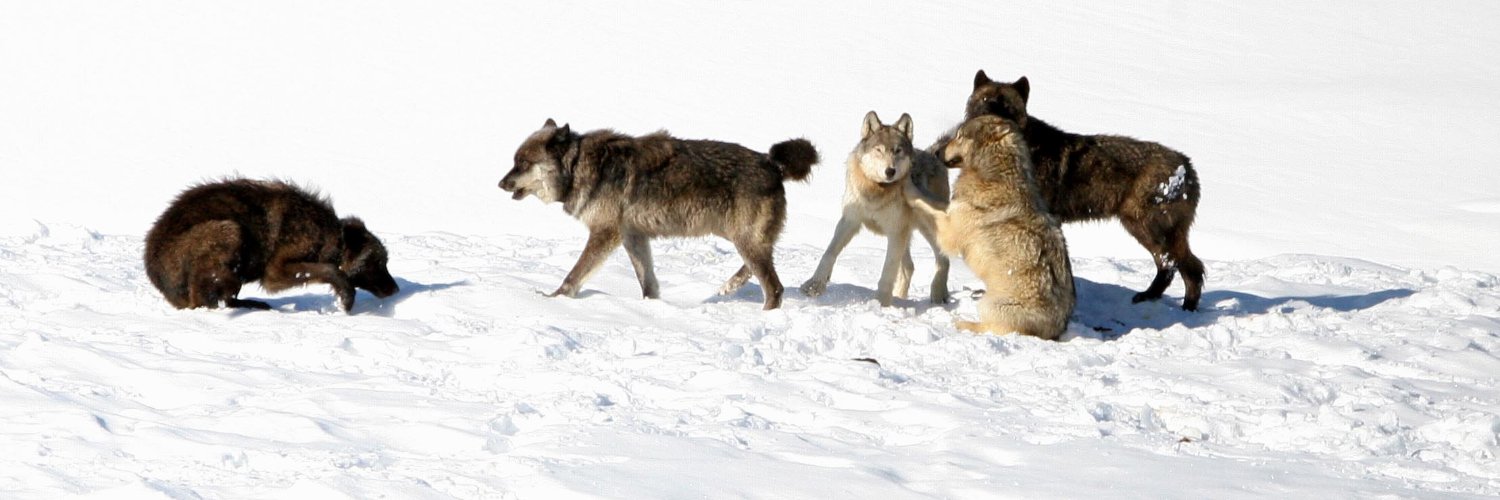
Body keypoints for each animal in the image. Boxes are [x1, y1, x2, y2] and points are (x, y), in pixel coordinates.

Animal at [144, 178, 399, 312]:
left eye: (384, 261)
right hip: (228, 230)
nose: (396, 289)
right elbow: (330, 271)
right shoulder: (275, 272)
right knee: (207, 300)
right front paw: (346, 298)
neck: (329, 234)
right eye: (377, 262)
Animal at [499, 119, 819, 310]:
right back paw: (728, 287)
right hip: (742, 240)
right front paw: (652, 310)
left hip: (744, 240)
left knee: (775, 289)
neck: (579, 167)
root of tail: (772, 164)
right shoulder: (633, 236)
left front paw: (554, 300)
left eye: (523, 163)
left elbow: (574, 274)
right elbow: (648, 283)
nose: (501, 183)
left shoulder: (605, 233)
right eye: (514, 161)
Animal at [799, 111, 950, 306]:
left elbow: (887, 272)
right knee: (909, 267)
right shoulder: (850, 221)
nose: (890, 171)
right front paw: (814, 285)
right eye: (879, 150)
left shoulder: (895, 232)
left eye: (898, 151)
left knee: (943, 260)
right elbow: (829, 253)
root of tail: (933, 154)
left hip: (927, 227)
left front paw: (880, 304)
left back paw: (938, 295)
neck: (876, 190)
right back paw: (901, 297)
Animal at [907, 115, 1075, 340]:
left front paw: (909, 185)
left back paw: (962, 323)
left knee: (990, 328)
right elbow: (935, 202)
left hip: (987, 305)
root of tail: (1056, 330)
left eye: (960, 136)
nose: (935, 153)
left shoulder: (950, 230)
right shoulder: (952, 210)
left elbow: (923, 198)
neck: (995, 174)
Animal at [938, 70, 1204, 311]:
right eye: (984, 99)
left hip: (1144, 226)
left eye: (1005, 104)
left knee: (1180, 266)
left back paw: (1181, 307)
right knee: (1181, 266)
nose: (989, 116)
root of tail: (1188, 166)